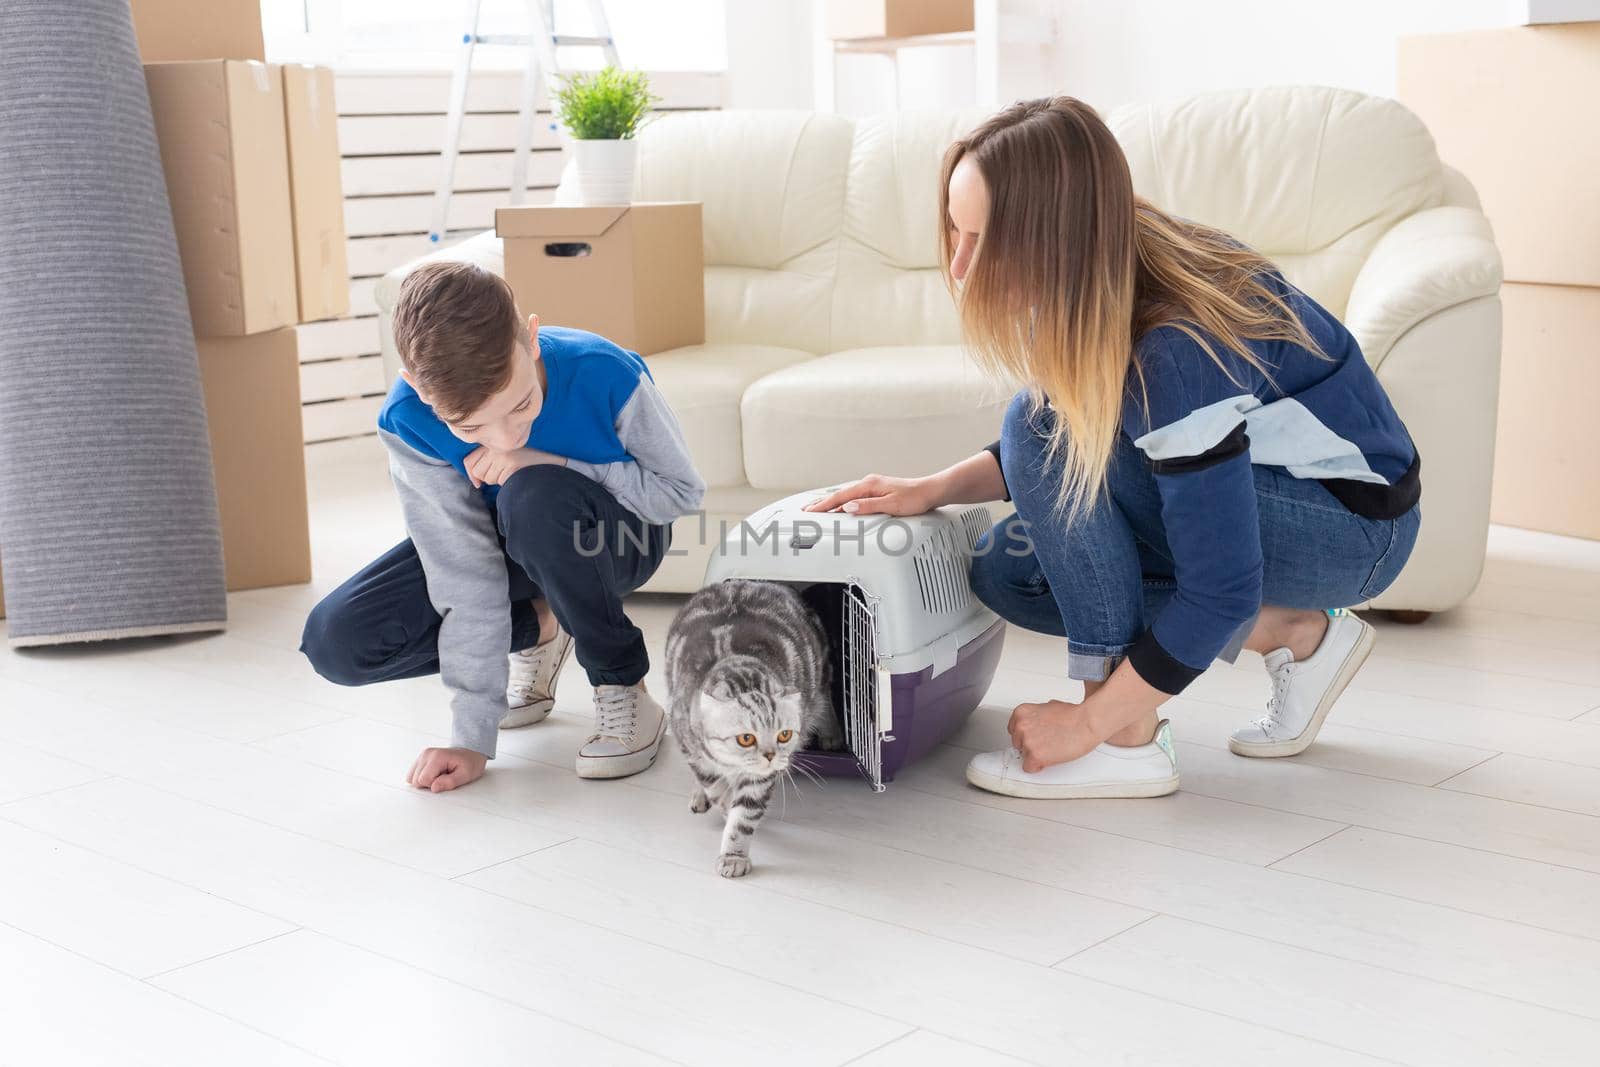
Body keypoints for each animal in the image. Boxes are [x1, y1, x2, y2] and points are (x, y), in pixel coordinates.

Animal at [662, 579, 844, 883]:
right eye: (746, 738)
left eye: (785, 734)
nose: (771, 756)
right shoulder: (689, 745)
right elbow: (714, 784)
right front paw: (721, 800)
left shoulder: (759, 778)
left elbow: (744, 816)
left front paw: (733, 856)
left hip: (821, 670)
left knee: (826, 698)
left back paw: (833, 734)